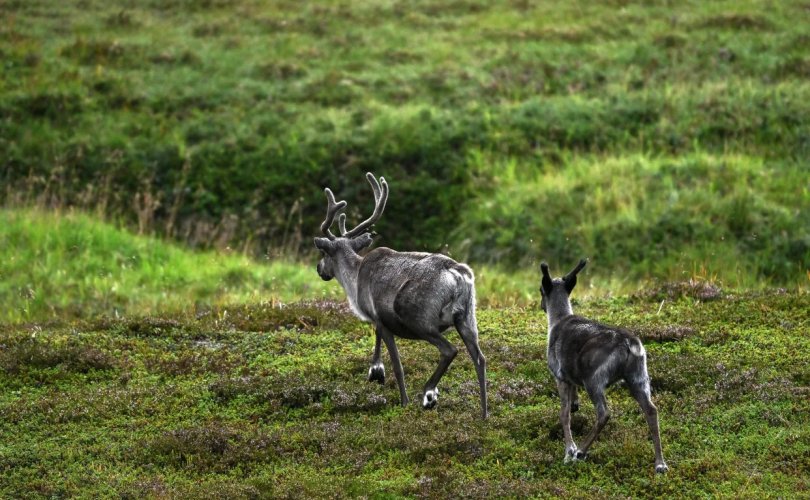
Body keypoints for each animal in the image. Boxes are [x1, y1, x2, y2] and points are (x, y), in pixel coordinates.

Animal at [540, 260, 664, 474]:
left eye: (540, 290)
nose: (541, 306)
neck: (558, 319)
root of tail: (630, 344)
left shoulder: (560, 376)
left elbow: (564, 414)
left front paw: (569, 450)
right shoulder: (572, 378)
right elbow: (572, 405)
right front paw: (576, 405)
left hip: (594, 380)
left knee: (604, 413)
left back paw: (580, 452)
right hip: (638, 376)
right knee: (651, 410)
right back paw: (660, 464)